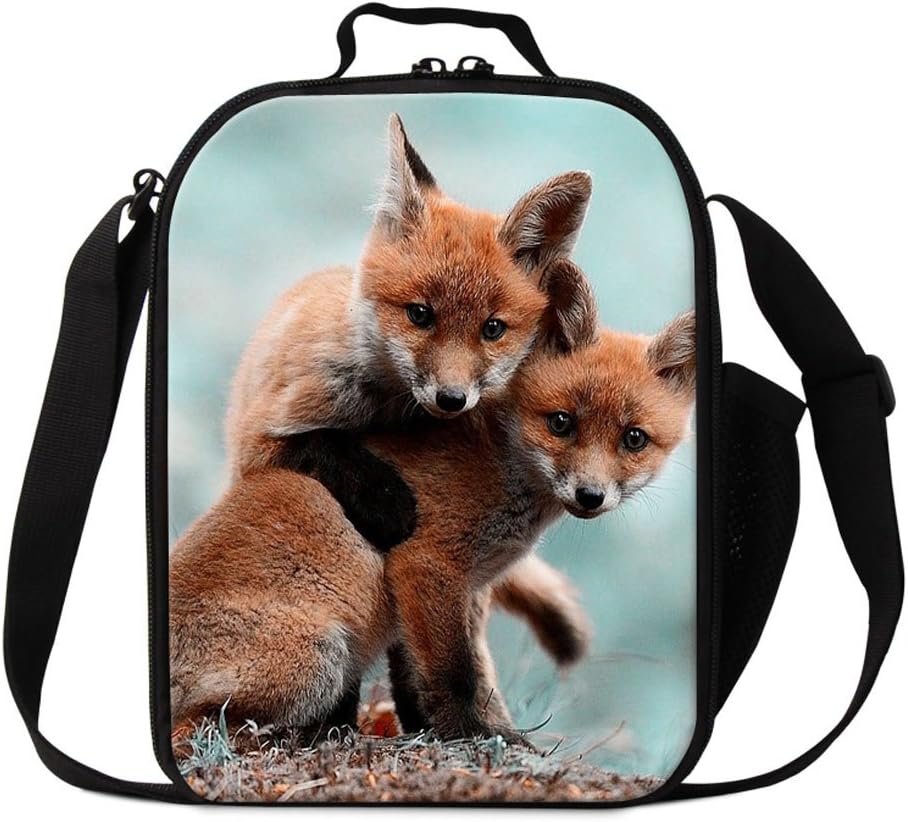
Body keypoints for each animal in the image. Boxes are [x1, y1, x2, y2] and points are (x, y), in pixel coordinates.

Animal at [170, 269, 696, 744]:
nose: (590, 495)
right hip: (320, 658)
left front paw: (474, 733)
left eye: (634, 439)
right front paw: (467, 734)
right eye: (561, 423)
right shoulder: (426, 566)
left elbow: (451, 677)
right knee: (197, 726)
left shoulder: (463, 592)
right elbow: (453, 675)